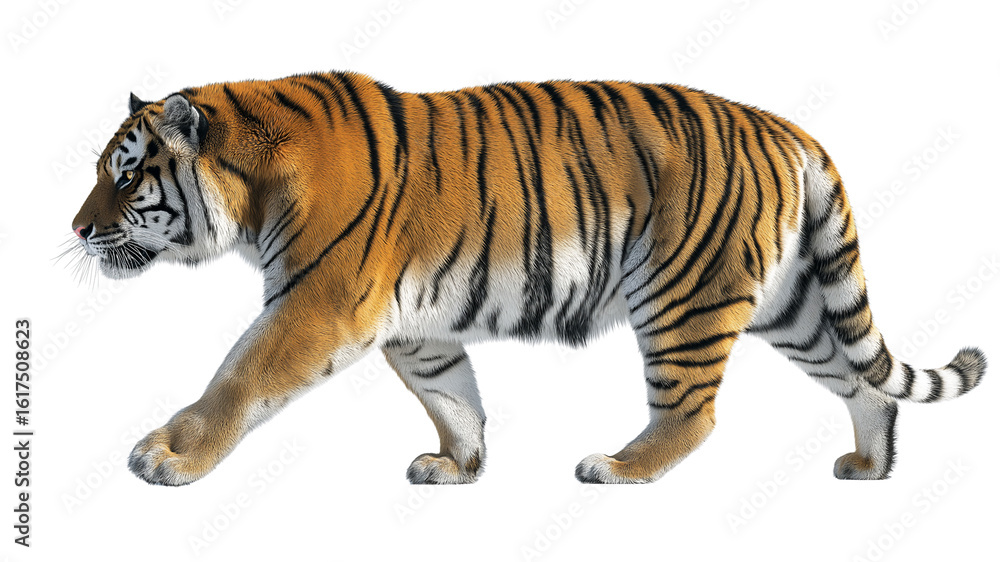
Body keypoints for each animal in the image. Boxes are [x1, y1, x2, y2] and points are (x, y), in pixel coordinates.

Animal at [71, 70, 986, 486]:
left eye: (126, 176)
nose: (77, 230)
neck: (251, 186)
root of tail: (786, 127)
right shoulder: (413, 326)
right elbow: (452, 394)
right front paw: (458, 467)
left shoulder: (314, 305)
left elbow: (236, 379)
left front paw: (166, 458)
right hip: (789, 303)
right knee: (861, 379)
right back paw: (869, 466)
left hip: (682, 295)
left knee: (693, 413)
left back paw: (618, 469)